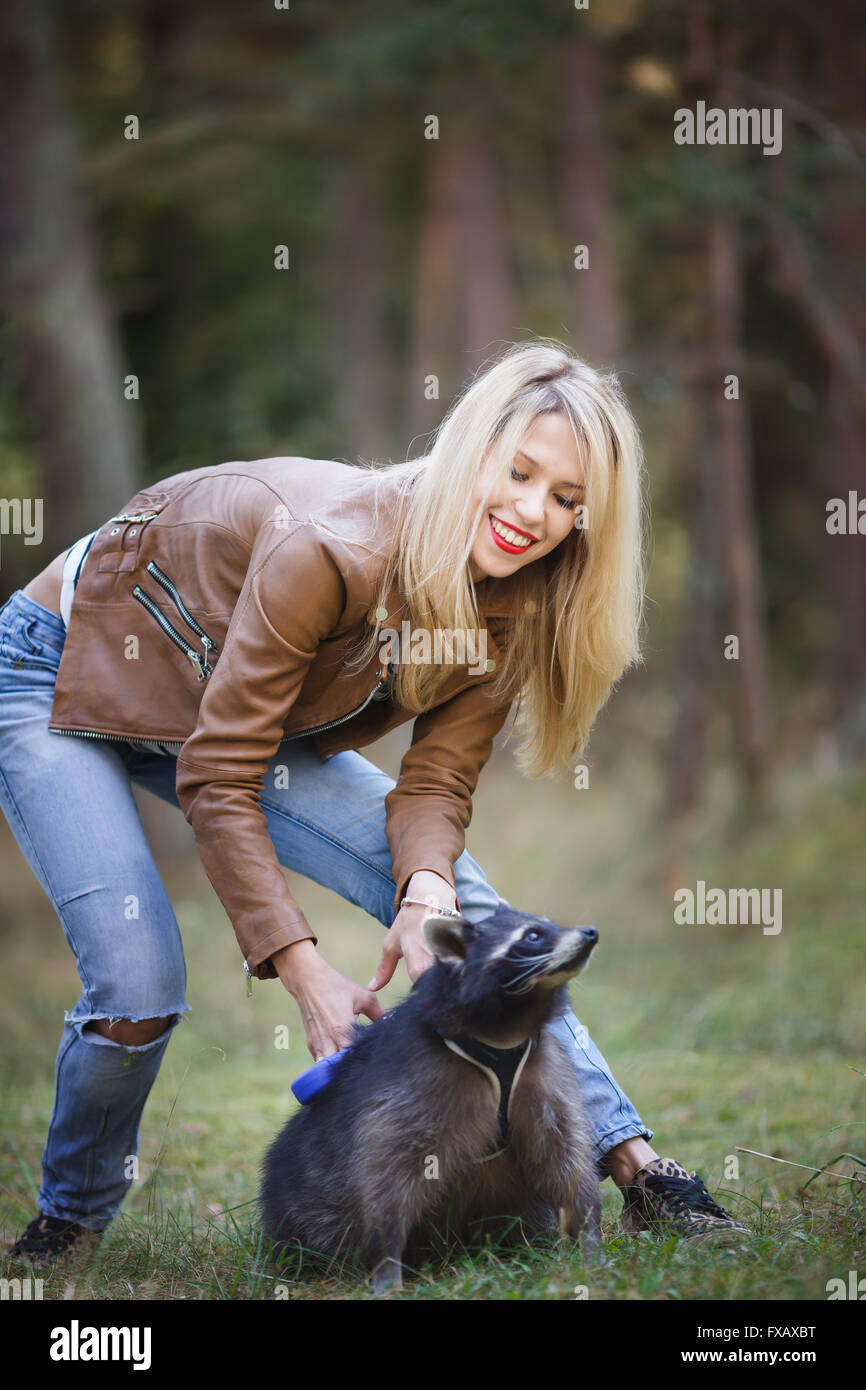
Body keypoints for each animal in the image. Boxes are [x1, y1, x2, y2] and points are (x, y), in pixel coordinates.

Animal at [258, 900, 603, 1289]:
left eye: (549, 925)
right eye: (532, 935)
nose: (591, 932)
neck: (507, 1030)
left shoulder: (543, 1069)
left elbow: (565, 1157)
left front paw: (588, 1231)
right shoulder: (410, 1083)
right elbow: (387, 1170)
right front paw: (386, 1258)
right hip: (305, 1198)